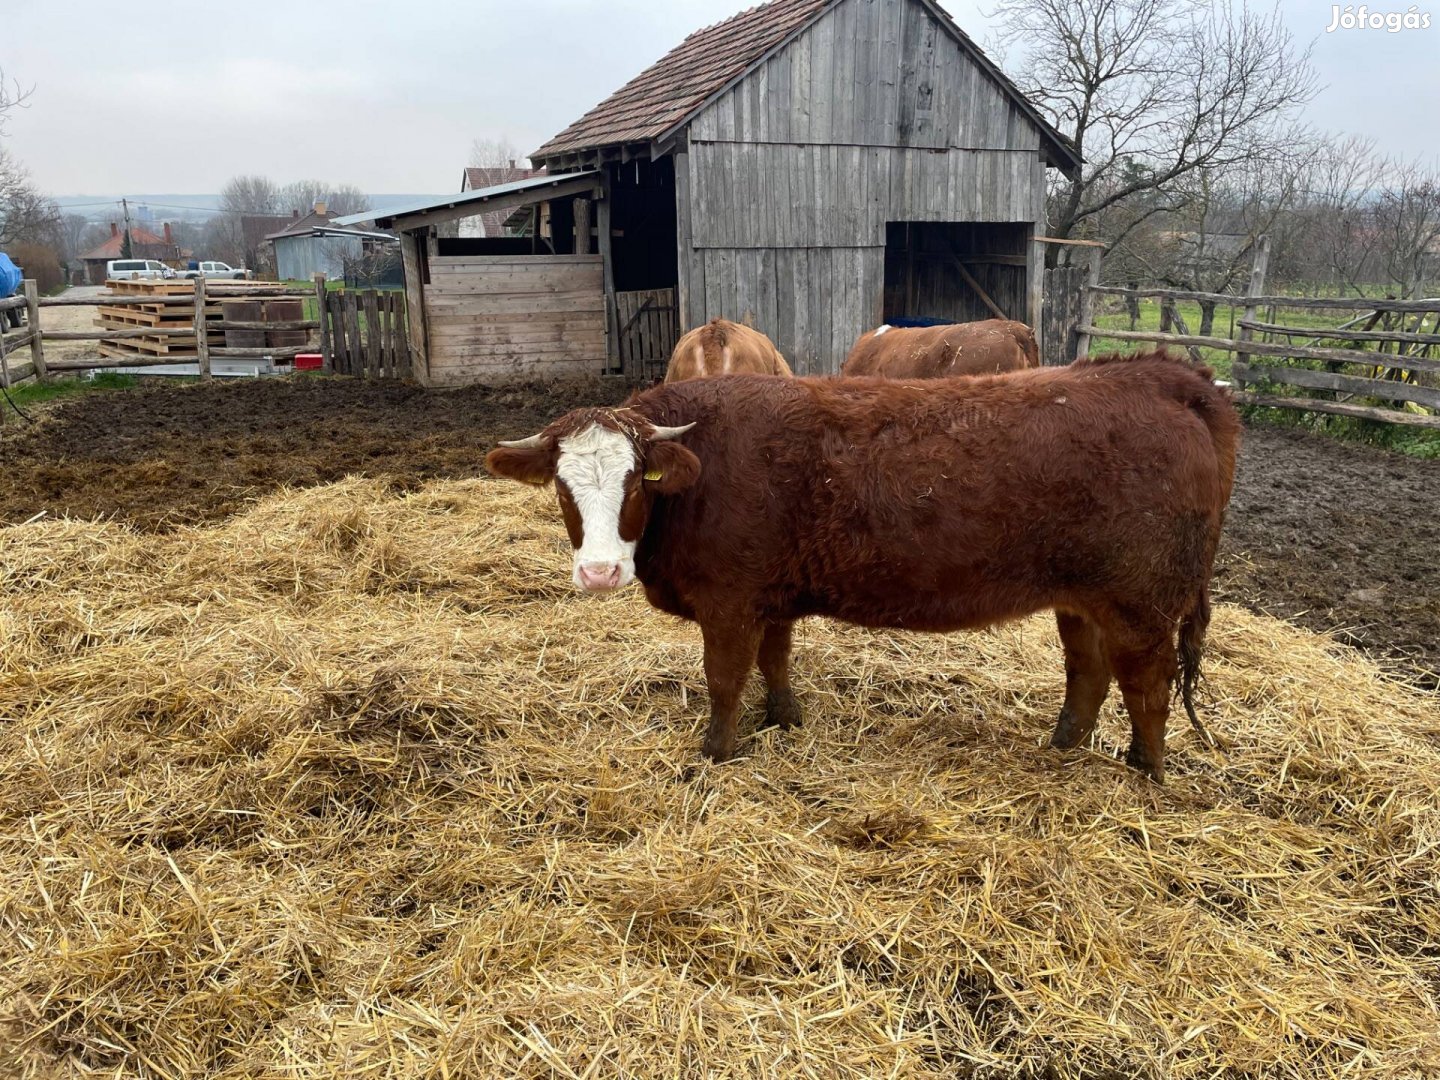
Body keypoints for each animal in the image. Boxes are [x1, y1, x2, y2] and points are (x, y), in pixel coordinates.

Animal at [489, 355, 1244, 789]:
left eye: (635, 484)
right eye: (563, 488)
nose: (598, 573)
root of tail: (1164, 377)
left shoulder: (729, 601)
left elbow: (725, 679)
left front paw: (714, 754)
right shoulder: (769, 595)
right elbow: (776, 661)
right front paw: (784, 720)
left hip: (1142, 604)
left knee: (1148, 686)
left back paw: (1146, 772)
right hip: (1081, 597)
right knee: (1087, 671)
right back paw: (1062, 746)